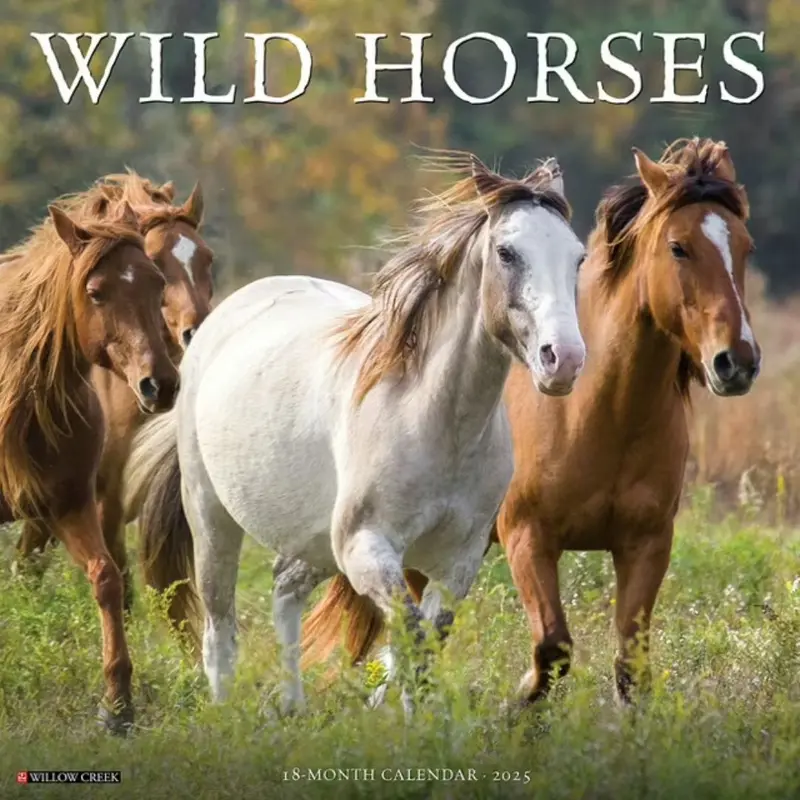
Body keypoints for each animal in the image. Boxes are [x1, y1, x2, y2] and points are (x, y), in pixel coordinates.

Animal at [0, 199, 179, 734]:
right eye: (95, 292)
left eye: (156, 283)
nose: (160, 385)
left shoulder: (70, 505)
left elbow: (107, 578)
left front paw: (117, 705)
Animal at [121, 153, 587, 714]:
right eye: (507, 252)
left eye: (578, 257)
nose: (563, 359)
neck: (437, 423)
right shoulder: (367, 548)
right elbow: (409, 637)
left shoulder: (459, 559)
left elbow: (424, 647)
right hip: (212, 518)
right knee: (219, 631)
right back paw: (228, 713)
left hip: (315, 540)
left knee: (285, 587)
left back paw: (293, 708)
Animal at [401, 137, 761, 707]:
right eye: (678, 247)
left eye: (746, 248)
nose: (737, 362)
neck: (601, 416)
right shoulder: (529, 539)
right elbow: (552, 648)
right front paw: (515, 707)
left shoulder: (647, 543)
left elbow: (630, 666)